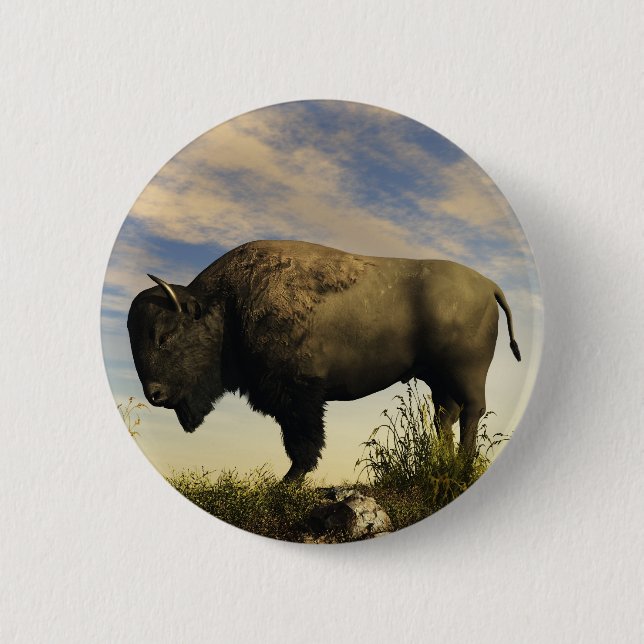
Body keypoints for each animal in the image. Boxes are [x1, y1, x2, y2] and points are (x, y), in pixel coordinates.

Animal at [127, 240, 521, 479]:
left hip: (466, 374)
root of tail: (489, 285)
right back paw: (442, 465)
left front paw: (286, 484)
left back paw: (463, 466)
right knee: (445, 416)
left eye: (164, 336)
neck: (227, 304)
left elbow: (303, 444)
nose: (154, 394)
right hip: (439, 379)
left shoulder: (297, 395)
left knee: (471, 412)